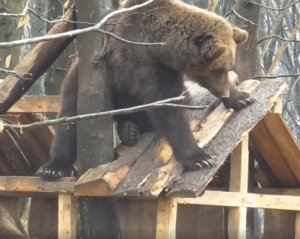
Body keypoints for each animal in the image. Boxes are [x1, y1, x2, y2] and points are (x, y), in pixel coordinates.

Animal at [36, 0, 254, 177]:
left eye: (228, 67)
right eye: (218, 69)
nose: (225, 92)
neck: (165, 47)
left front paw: (242, 97)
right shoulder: (144, 61)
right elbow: (167, 107)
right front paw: (200, 158)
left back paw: (129, 130)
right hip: (82, 80)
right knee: (69, 120)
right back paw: (53, 167)